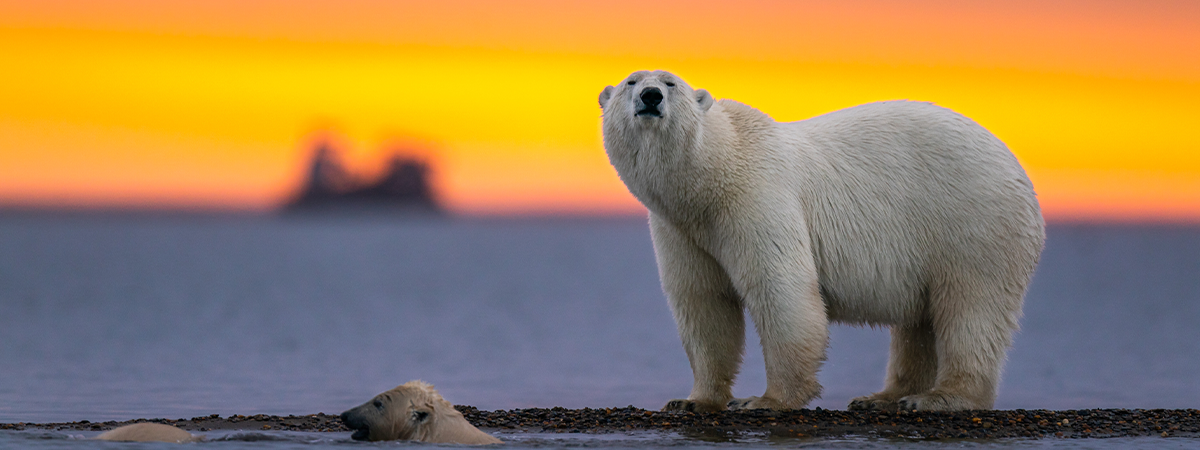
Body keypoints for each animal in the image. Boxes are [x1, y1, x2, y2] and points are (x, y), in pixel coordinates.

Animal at [597, 69, 1041, 412]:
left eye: (670, 83)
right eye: (631, 81)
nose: (650, 96)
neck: (712, 176)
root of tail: (1017, 167)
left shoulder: (758, 197)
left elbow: (781, 289)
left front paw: (766, 400)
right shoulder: (681, 230)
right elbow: (703, 302)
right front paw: (693, 400)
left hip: (973, 222)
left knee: (971, 307)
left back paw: (938, 397)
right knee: (919, 322)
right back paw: (882, 397)